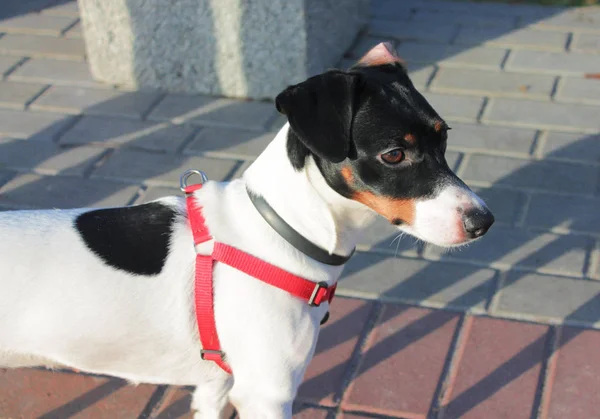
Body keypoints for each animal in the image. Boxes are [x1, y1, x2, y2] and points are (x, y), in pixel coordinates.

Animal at [0, 43, 492, 419]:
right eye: (393, 154)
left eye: (444, 136)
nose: (483, 221)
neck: (283, 231)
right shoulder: (267, 394)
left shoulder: (218, 384)